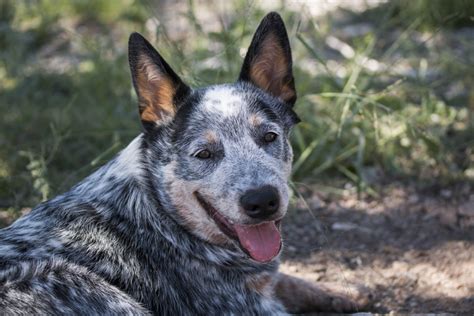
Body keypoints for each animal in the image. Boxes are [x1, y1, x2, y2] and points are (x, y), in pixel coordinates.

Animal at [0, 11, 362, 314]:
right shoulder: (252, 308)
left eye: (269, 137)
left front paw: (346, 291)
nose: (262, 201)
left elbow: (291, 279)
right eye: (204, 154)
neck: (158, 213)